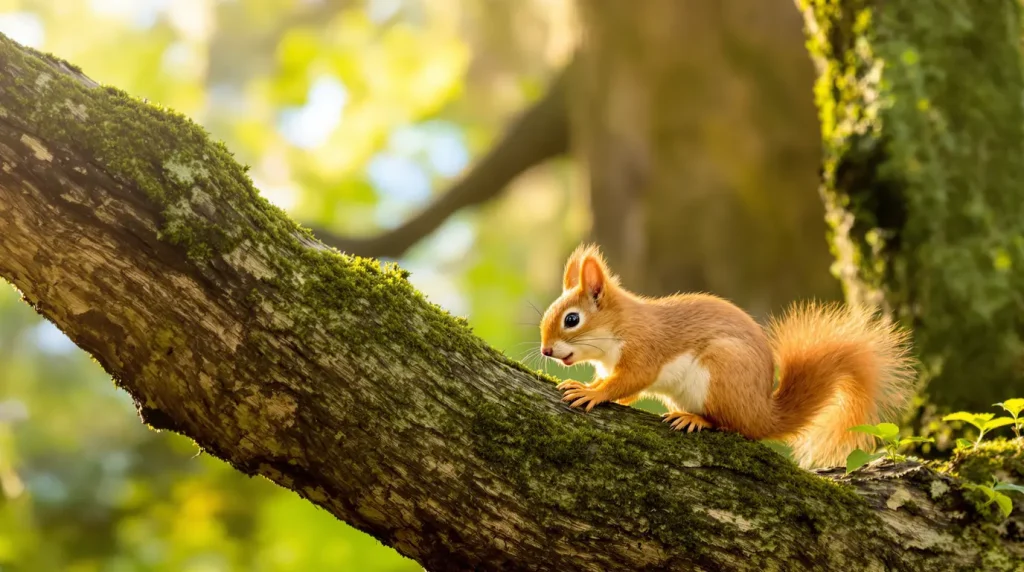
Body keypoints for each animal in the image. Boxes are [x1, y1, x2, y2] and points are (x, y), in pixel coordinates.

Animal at [538, 244, 917, 468]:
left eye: (572, 320)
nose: (545, 350)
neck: (619, 326)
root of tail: (761, 412)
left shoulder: (644, 349)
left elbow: (630, 381)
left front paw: (591, 393)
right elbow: (624, 390)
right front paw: (588, 385)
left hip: (721, 371)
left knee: (732, 426)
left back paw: (696, 420)